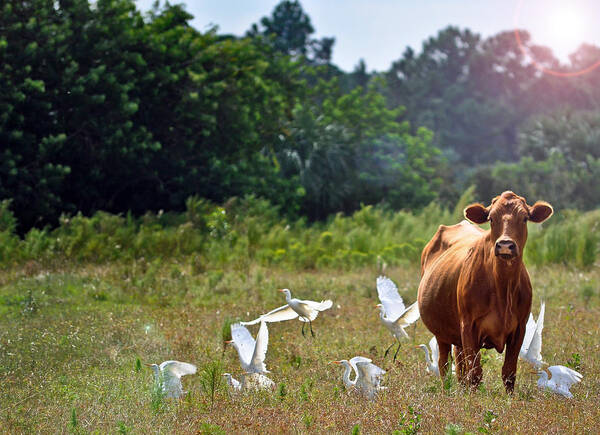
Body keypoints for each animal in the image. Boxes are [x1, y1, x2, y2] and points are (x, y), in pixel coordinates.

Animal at [418, 192, 552, 394]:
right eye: (491, 218)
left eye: (524, 218)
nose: (505, 245)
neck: (502, 288)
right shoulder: (469, 326)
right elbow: (475, 373)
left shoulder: (519, 328)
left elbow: (508, 372)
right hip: (442, 333)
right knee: (445, 365)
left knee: (459, 366)